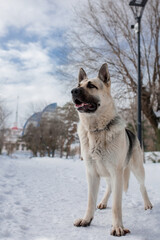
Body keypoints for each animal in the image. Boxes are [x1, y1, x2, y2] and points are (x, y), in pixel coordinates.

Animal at [71, 62, 152, 237]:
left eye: (91, 86)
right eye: (78, 85)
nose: (73, 91)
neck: (97, 130)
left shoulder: (116, 172)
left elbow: (116, 204)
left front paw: (118, 227)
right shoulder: (92, 172)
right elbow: (90, 201)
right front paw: (87, 219)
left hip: (137, 169)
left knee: (142, 187)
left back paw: (147, 204)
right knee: (109, 187)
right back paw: (102, 201)